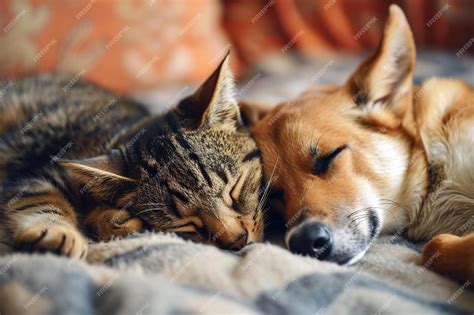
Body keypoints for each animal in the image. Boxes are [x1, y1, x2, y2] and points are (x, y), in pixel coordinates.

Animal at [0, 55, 264, 260]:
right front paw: (58, 234)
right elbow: (38, 200)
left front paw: (109, 219)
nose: (237, 240)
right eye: (186, 222)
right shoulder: (37, 173)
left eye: (235, 188)